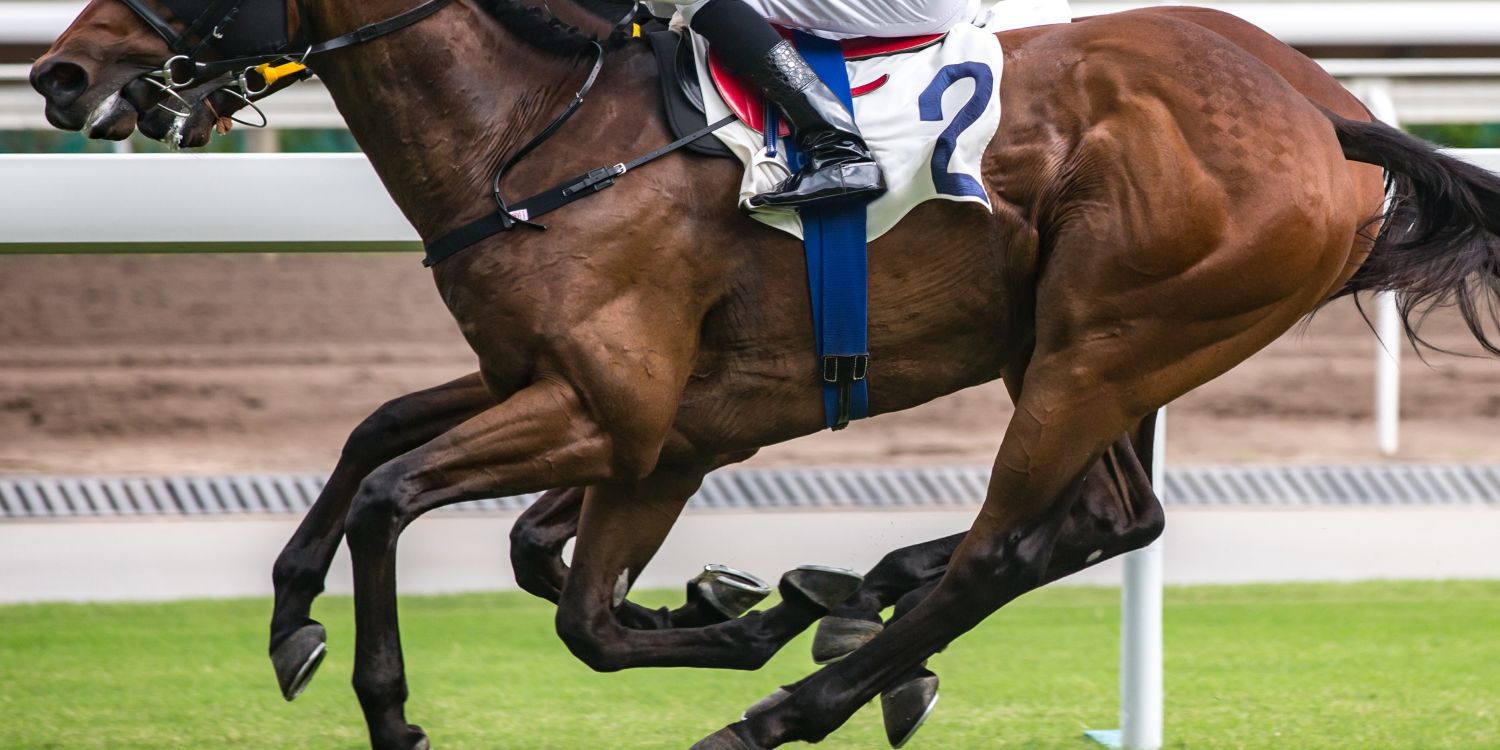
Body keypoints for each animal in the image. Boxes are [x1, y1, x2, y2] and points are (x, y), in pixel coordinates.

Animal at [32, 0, 1500, 747]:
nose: (57, 67)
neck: (539, 131)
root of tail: (1332, 112)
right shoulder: (591, 400)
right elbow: (395, 449)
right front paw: (293, 610)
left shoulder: (615, 410)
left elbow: (406, 499)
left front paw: (391, 712)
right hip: (1095, 344)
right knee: (1105, 518)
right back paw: (851, 615)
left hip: (1103, 340)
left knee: (1012, 542)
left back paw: (797, 699)